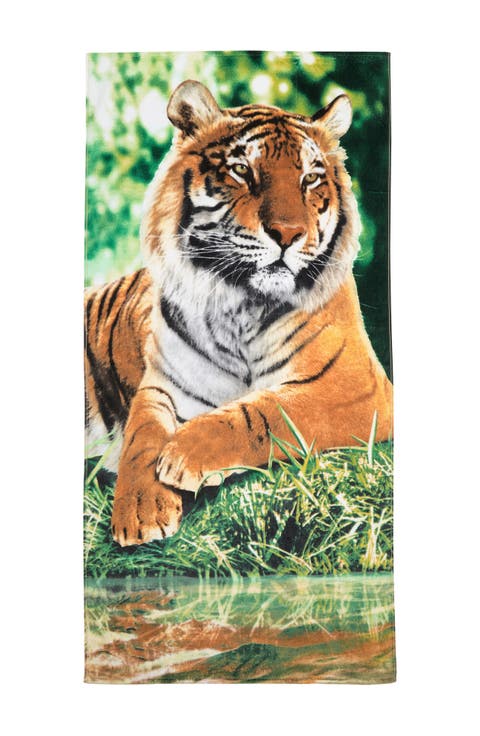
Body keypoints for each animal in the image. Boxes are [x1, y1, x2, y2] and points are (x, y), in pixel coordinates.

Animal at [85, 80, 393, 547]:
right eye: (242, 171)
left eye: (310, 178)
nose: (288, 233)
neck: (241, 305)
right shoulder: (164, 385)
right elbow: (142, 436)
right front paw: (141, 510)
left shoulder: (354, 387)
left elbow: (267, 412)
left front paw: (184, 454)